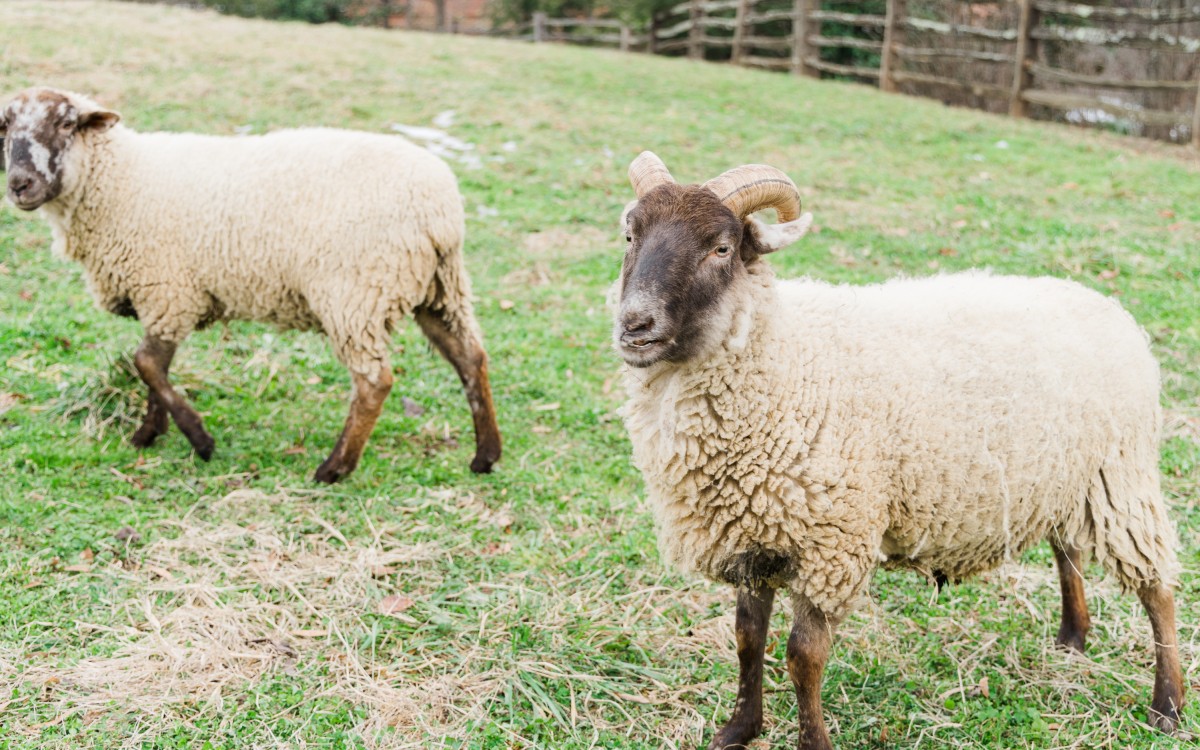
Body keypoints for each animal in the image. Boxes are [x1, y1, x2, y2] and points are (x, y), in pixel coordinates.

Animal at [1, 87, 501, 482]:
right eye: (5, 127)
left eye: (67, 123)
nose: (19, 184)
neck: (117, 180)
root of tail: (440, 209)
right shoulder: (166, 295)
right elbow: (154, 369)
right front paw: (150, 433)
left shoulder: (168, 289)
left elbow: (146, 364)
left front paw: (198, 439)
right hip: (440, 289)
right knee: (470, 358)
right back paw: (486, 456)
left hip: (356, 292)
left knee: (374, 382)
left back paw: (335, 468)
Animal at [612, 151, 1184, 749]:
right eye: (630, 235)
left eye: (721, 248)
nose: (635, 324)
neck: (786, 359)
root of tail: (1106, 306)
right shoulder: (753, 537)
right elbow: (748, 639)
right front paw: (739, 729)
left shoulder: (832, 543)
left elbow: (802, 657)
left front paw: (812, 741)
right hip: (1061, 477)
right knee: (1066, 549)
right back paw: (1072, 638)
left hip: (1121, 480)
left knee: (1157, 589)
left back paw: (1166, 706)